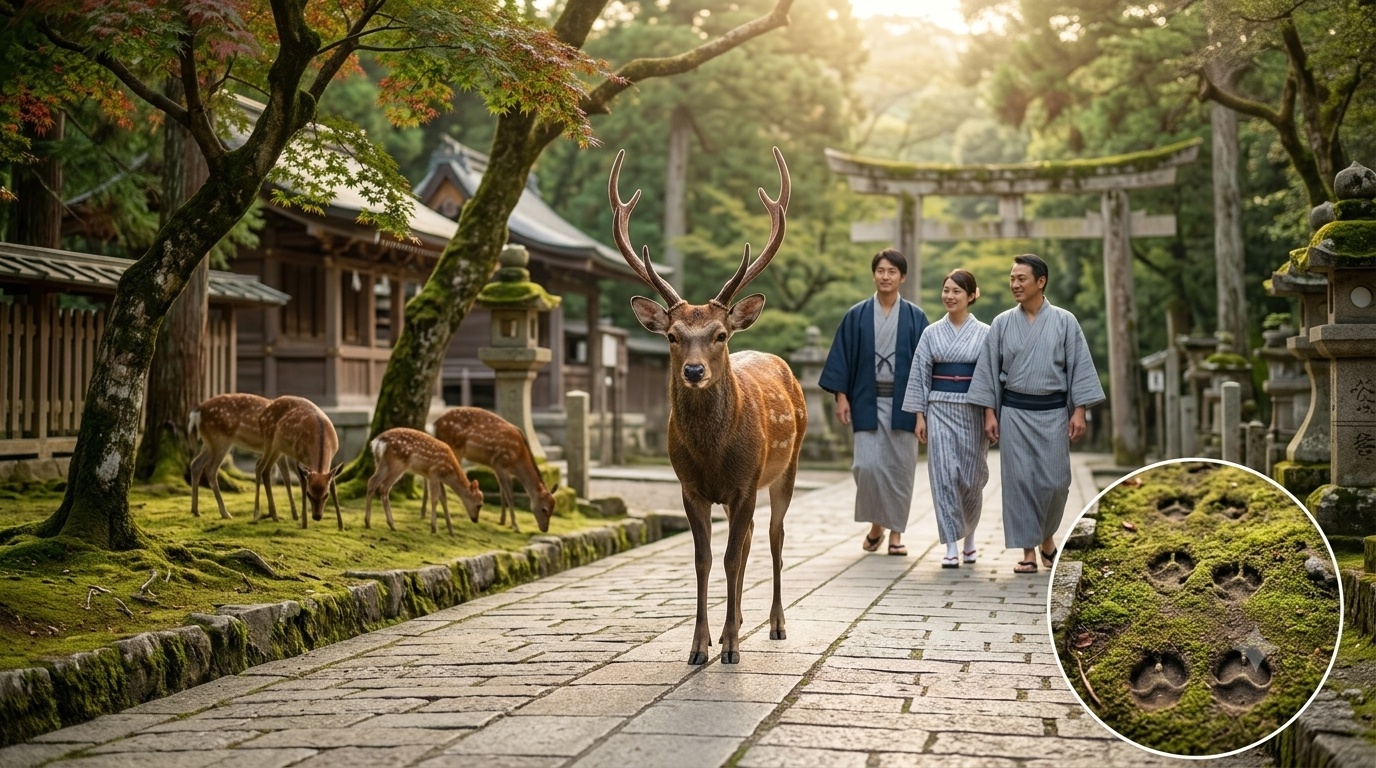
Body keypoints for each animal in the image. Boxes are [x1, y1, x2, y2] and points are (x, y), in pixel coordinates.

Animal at [253, 396, 343, 529]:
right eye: (309, 494)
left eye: (326, 495)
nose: (317, 516)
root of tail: (262, 415)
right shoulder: (300, 457)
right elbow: (303, 483)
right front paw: (304, 523)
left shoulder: (332, 458)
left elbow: (333, 484)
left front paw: (341, 525)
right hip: (268, 440)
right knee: (259, 467)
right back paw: (256, 514)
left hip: (278, 448)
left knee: (266, 470)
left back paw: (275, 516)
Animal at [609, 147, 805, 665]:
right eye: (673, 336)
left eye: (719, 335)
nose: (694, 371)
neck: (713, 455)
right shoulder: (689, 487)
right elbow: (703, 559)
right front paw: (700, 646)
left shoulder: (744, 484)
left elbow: (732, 557)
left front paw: (731, 646)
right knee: (752, 541)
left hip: (787, 468)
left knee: (774, 539)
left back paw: (775, 625)